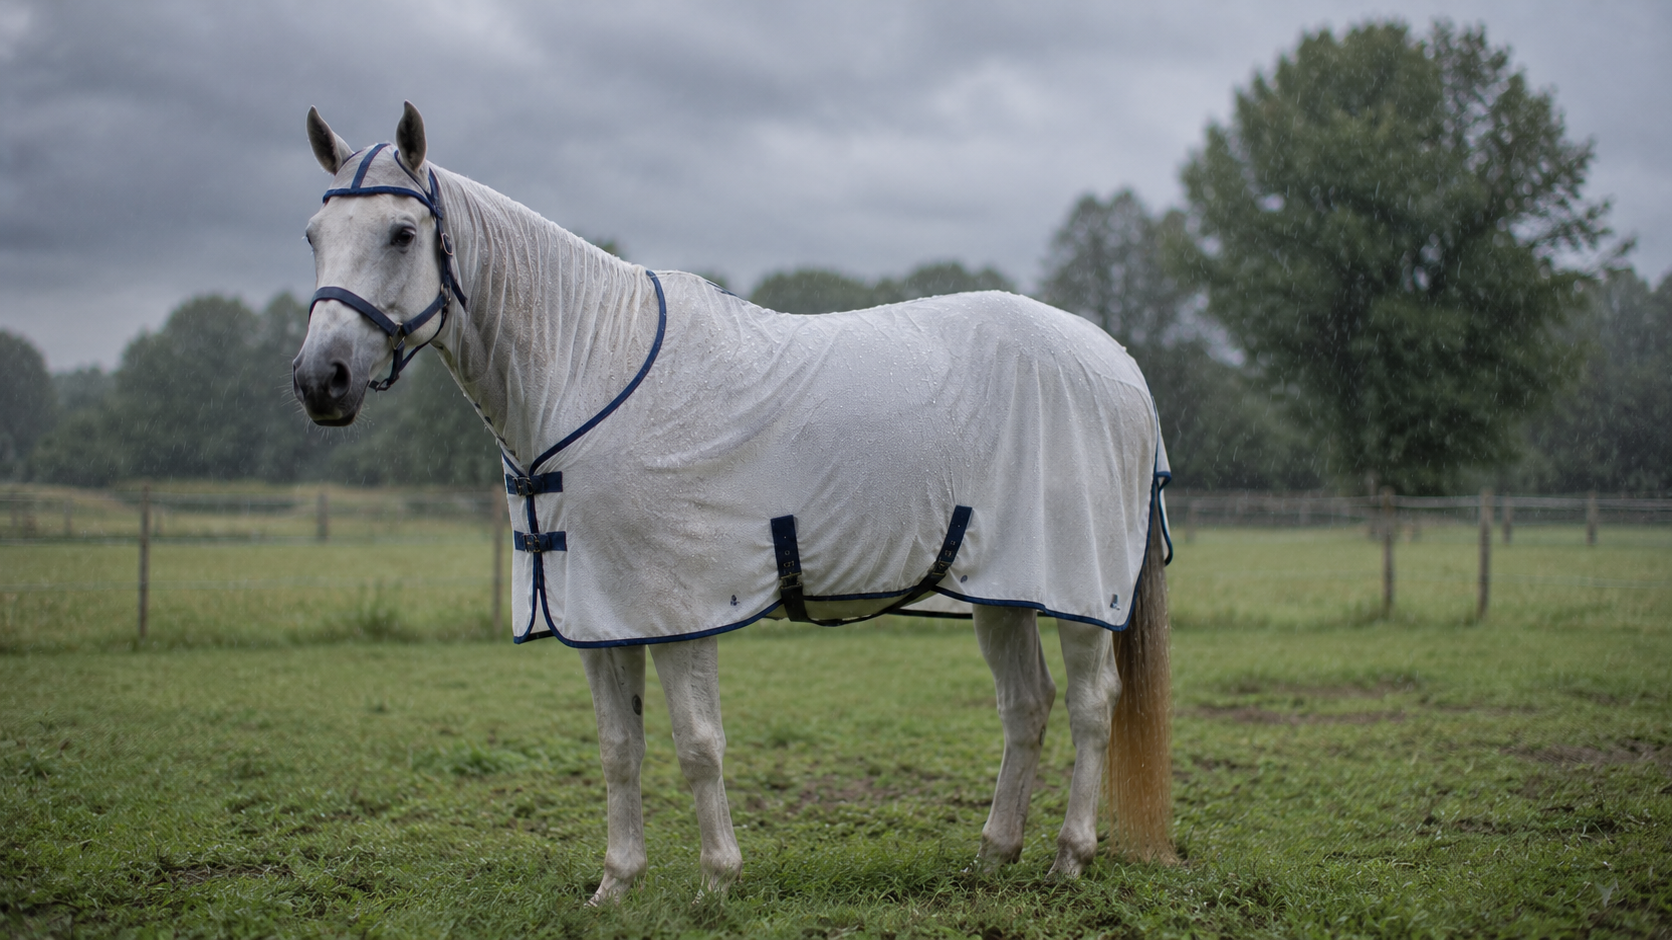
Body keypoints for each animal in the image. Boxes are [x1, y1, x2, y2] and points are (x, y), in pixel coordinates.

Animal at [292, 102, 1175, 904]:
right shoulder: (600, 616)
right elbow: (619, 748)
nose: (319, 380)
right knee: (1026, 707)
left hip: (1075, 588)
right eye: (312, 235)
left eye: (402, 234)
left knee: (1091, 706)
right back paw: (993, 857)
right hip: (1003, 591)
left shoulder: (679, 612)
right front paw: (616, 885)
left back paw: (1069, 857)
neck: (591, 369)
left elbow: (696, 745)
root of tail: (1121, 365)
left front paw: (717, 880)